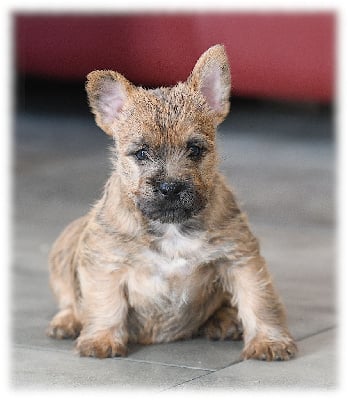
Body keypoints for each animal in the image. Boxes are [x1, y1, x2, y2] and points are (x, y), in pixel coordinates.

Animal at [46, 45, 296, 360]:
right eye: (141, 153)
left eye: (195, 149)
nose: (170, 187)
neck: (172, 227)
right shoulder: (105, 261)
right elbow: (105, 303)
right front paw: (101, 339)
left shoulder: (240, 257)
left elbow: (259, 301)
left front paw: (269, 341)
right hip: (66, 245)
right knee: (69, 298)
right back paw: (66, 321)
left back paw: (225, 320)